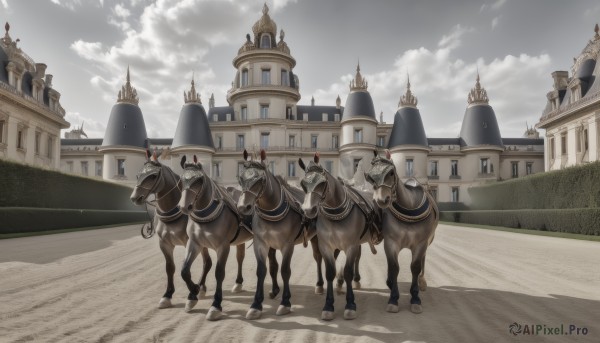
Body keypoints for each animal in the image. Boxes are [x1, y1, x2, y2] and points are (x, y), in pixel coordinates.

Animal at [129, 150, 213, 310]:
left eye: (153, 176)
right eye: (138, 175)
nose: (135, 198)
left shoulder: (190, 242)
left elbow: (185, 270)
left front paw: (192, 293)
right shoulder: (165, 243)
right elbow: (170, 268)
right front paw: (167, 295)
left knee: (207, 262)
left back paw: (200, 287)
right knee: (207, 262)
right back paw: (202, 287)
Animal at [177, 156, 254, 322]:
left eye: (198, 180)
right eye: (181, 180)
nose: (184, 206)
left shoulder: (223, 246)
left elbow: (219, 273)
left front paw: (216, 305)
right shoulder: (194, 243)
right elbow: (184, 270)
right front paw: (193, 292)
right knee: (240, 258)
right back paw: (238, 283)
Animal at [238, 149, 324, 322]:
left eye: (259, 179)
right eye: (241, 178)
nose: (242, 207)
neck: (271, 210)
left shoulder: (287, 245)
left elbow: (285, 270)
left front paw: (285, 302)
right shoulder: (261, 243)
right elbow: (264, 270)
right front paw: (256, 304)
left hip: (316, 237)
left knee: (318, 257)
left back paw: (319, 284)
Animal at [298, 153, 382, 322]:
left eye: (322, 183)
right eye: (303, 184)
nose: (308, 210)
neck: (335, 216)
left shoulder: (351, 245)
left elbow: (348, 271)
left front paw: (350, 305)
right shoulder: (326, 246)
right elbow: (330, 271)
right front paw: (328, 305)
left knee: (357, 258)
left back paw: (355, 280)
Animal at [364, 150, 438, 314]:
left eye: (391, 172)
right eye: (370, 176)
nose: (381, 200)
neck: (409, 207)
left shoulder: (420, 243)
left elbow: (415, 267)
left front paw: (415, 298)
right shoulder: (391, 242)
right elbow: (394, 267)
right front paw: (393, 298)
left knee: (423, 260)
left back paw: (422, 282)